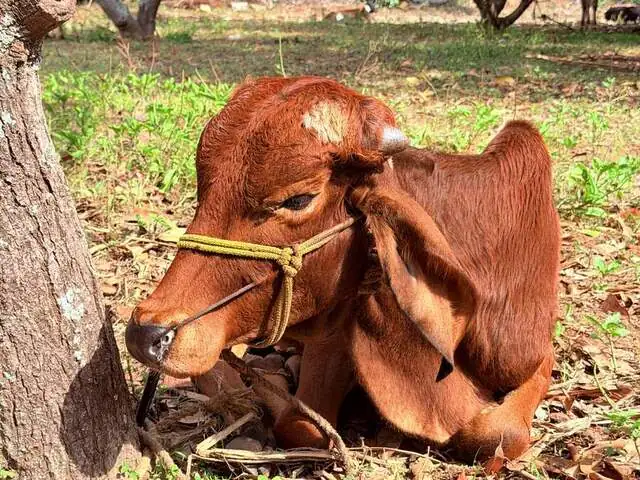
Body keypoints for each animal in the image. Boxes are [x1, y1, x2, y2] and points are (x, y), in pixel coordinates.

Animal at [125, 76, 560, 461]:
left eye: (299, 199)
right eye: (204, 191)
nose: (147, 332)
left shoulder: (535, 355)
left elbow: (496, 433)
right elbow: (301, 425)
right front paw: (265, 388)